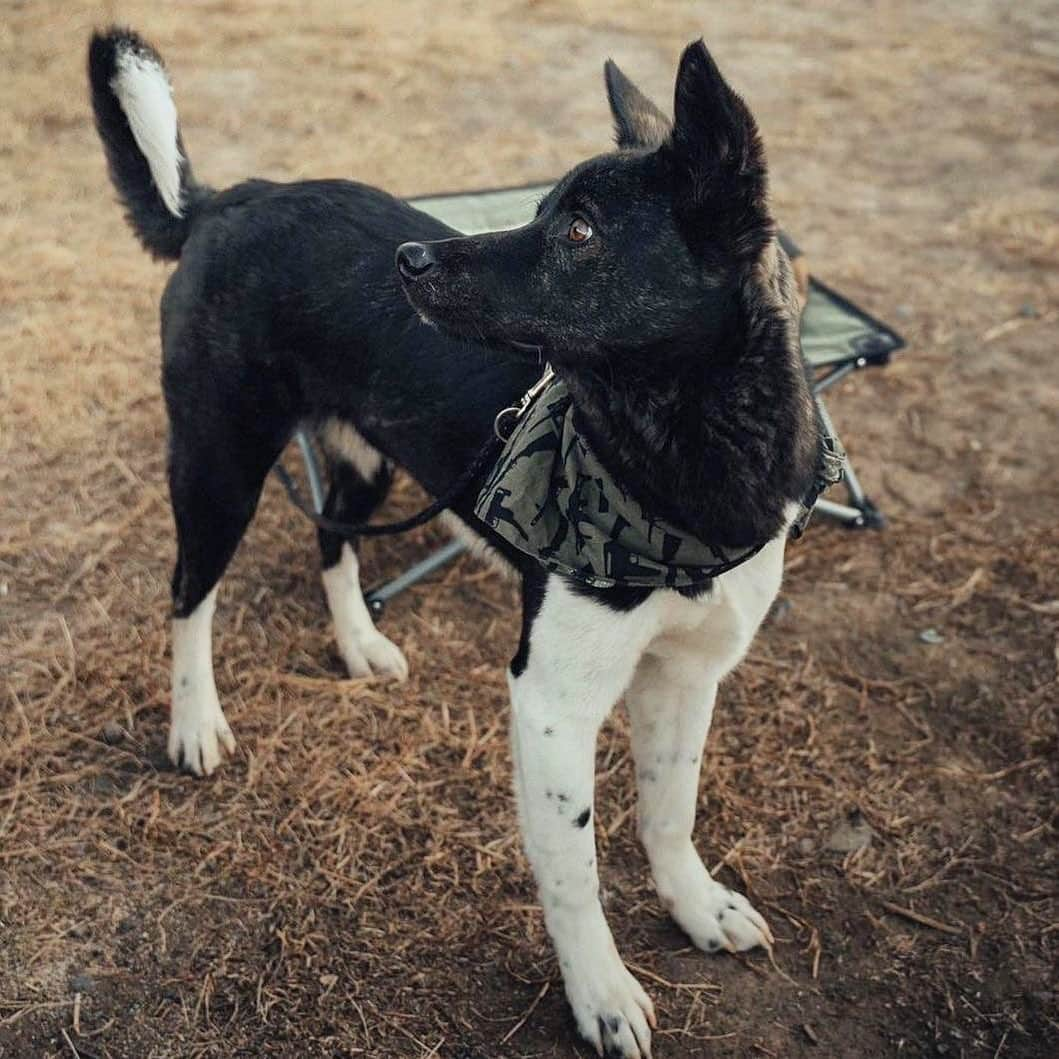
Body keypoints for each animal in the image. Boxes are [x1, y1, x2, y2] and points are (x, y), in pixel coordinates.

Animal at [91, 28, 817, 1054]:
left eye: (579, 232)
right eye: (543, 209)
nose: (409, 258)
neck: (675, 471)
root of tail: (231, 198)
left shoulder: (687, 673)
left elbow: (670, 812)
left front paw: (694, 905)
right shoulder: (550, 701)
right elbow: (574, 871)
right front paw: (599, 992)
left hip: (365, 457)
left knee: (332, 541)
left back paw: (359, 645)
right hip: (218, 460)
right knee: (190, 591)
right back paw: (195, 722)